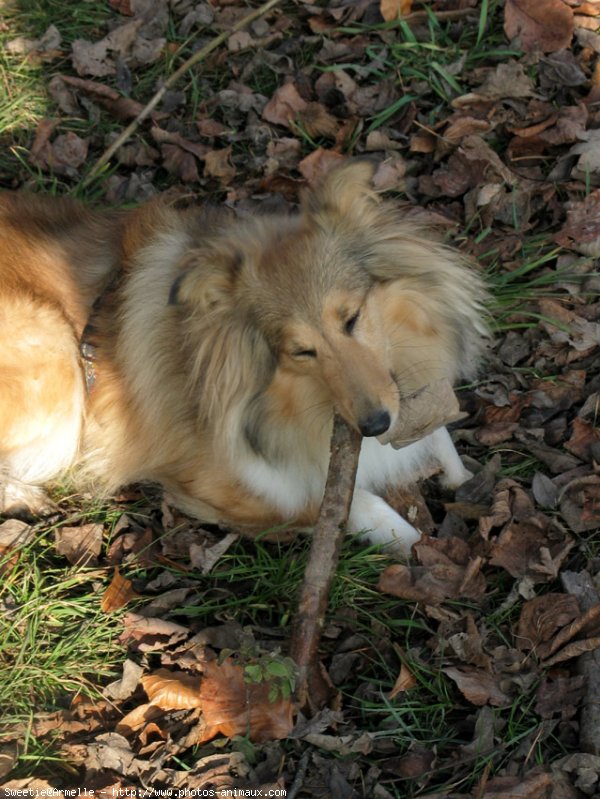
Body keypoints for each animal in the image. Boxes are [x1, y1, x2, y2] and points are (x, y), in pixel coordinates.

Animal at [0, 159, 488, 552]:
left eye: (351, 319)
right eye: (300, 351)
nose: (374, 426)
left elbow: (440, 437)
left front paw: (465, 480)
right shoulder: (219, 482)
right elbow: (349, 507)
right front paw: (421, 552)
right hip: (54, 351)